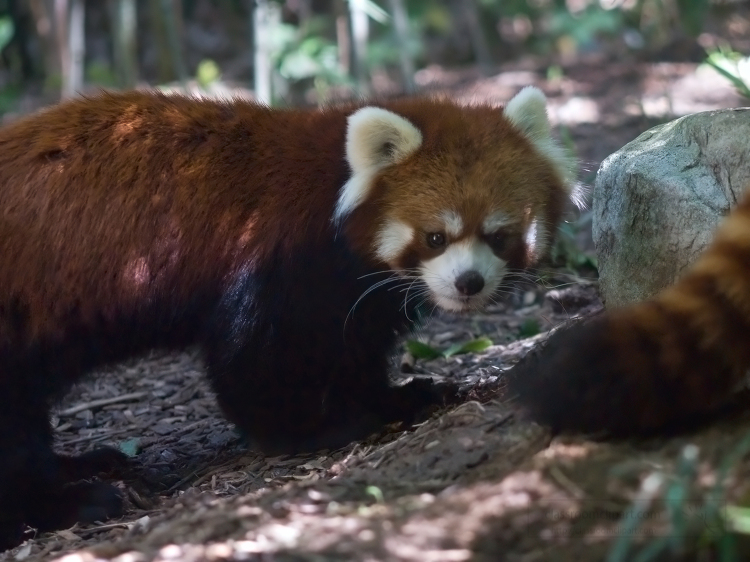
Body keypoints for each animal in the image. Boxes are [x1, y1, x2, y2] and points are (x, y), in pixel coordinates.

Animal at [0, 87, 580, 548]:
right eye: (436, 237)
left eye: (497, 235)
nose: (469, 283)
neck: (335, 191)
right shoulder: (276, 261)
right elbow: (252, 358)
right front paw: (314, 428)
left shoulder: (355, 297)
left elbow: (353, 349)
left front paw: (394, 398)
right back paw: (68, 501)